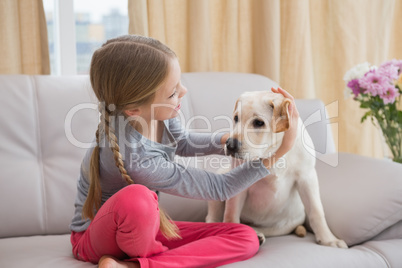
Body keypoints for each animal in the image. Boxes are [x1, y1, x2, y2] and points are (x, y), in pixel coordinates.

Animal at [206, 89, 348, 248]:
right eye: (236, 118)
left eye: (259, 123)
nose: (230, 145)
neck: (271, 152)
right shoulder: (236, 183)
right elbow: (231, 214)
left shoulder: (307, 177)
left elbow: (316, 211)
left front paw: (328, 239)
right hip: (220, 179)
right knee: (212, 218)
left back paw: (257, 234)